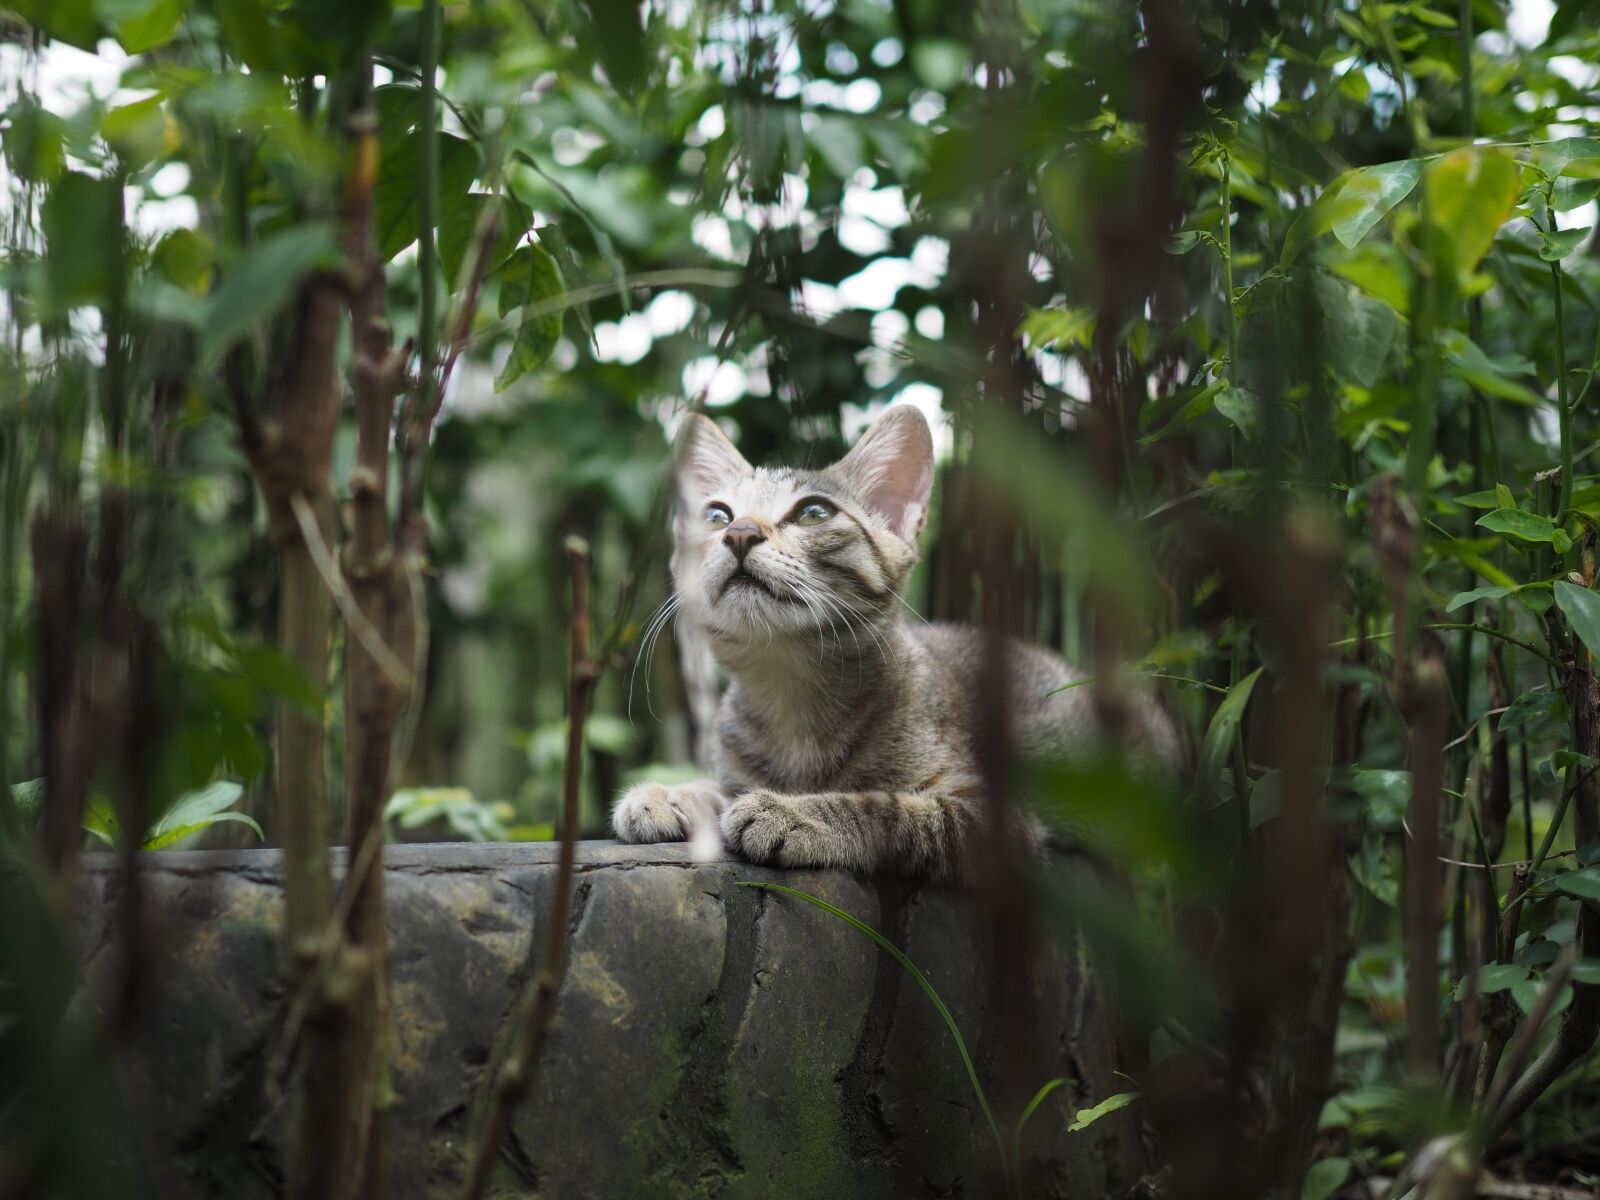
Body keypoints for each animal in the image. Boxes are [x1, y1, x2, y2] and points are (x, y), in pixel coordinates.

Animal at [611, 409, 1177, 889]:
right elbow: (721, 789)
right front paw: (671, 794)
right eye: (716, 515)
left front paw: (796, 812)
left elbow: (888, 810)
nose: (740, 533)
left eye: (813, 512)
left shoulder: (999, 823)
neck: (791, 696)